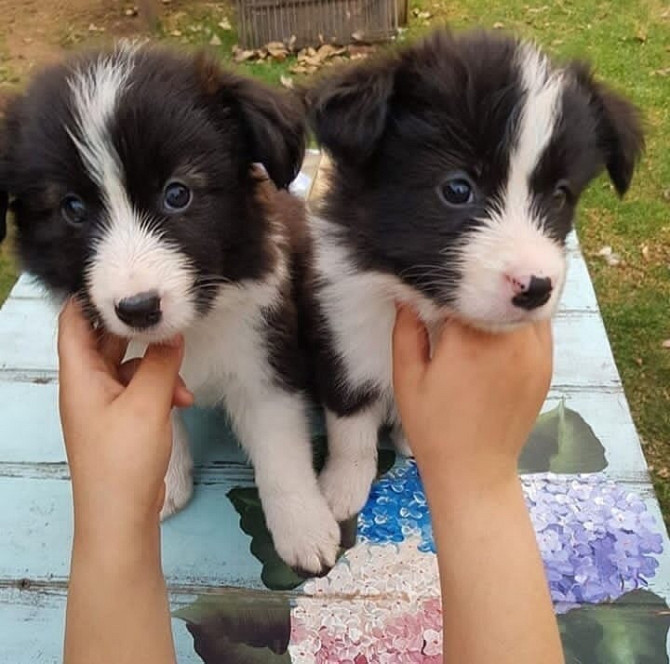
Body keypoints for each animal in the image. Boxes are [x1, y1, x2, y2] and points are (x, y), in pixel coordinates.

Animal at [0, 44, 344, 572]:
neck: (196, 323)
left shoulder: (264, 355)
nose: (138, 308)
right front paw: (159, 483)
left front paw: (303, 527)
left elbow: (280, 452)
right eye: (73, 208)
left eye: (177, 193)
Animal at [306, 27, 644, 524]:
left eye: (560, 195)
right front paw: (341, 488)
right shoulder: (343, 339)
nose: (536, 288)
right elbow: (351, 426)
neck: (425, 305)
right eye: (457, 188)